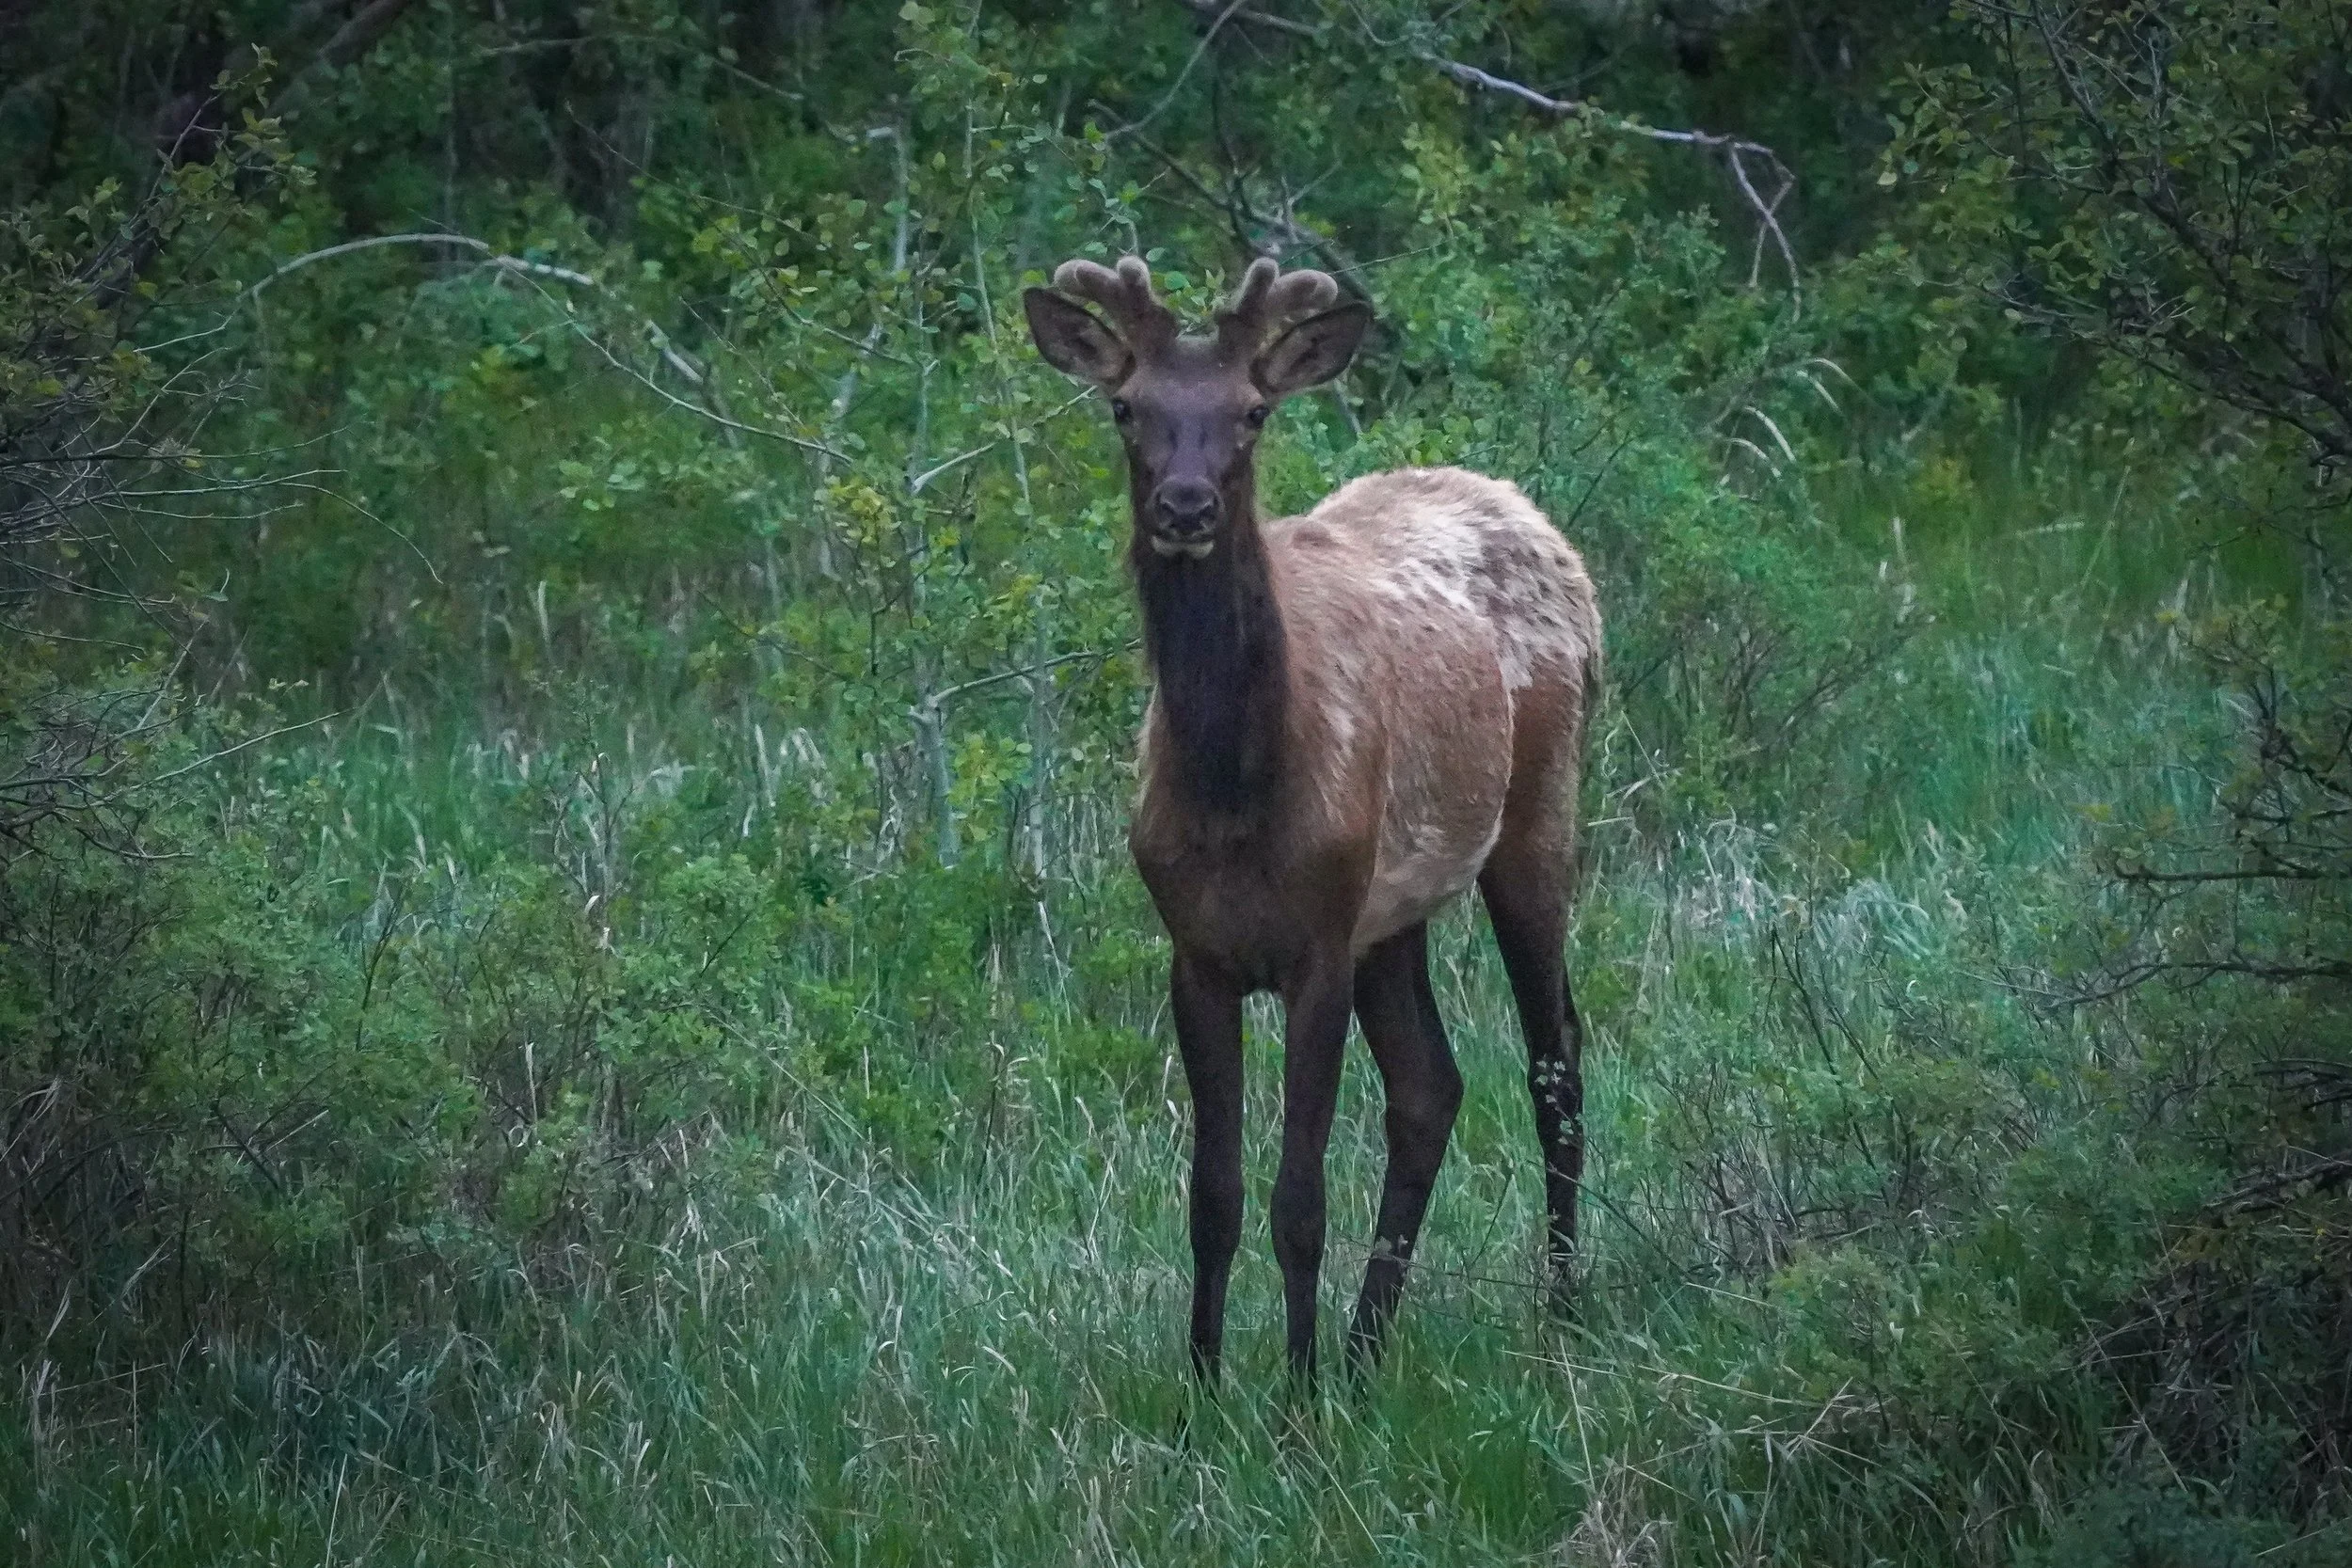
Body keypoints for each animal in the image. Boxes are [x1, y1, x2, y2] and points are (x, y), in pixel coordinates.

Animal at [1023, 254, 1601, 1382]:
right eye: (1126, 406)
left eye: (1252, 411)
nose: (1187, 505)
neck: (1238, 800)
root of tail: (1527, 510)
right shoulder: (1198, 952)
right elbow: (1212, 1196)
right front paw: (1204, 1389)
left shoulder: (1319, 943)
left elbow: (1299, 1199)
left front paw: (1296, 1399)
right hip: (1395, 908)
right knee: (1431, 1088)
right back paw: (1369, 1346)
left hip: (1538, 809)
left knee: (1555, 1059)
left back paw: (1557, 1308)